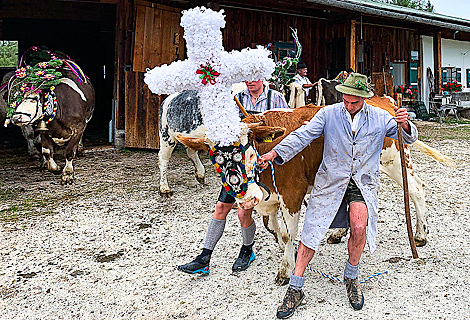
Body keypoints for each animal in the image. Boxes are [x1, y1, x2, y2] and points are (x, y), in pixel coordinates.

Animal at [178, 95, 454, 284]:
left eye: (246, 148)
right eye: (213, 156)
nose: (246, 197)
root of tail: (382, 99)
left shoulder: (292, 192)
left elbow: (287, 233)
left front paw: (286, 268)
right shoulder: (269, 198)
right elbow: (274, 228)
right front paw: (288, 251)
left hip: (395, 161)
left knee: (416, 190)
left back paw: (420, 234)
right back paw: (339, 233)